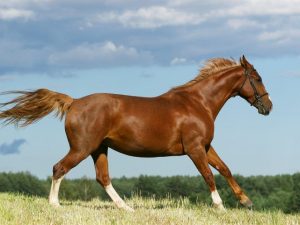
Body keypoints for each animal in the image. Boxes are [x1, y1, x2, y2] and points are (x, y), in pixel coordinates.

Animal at [0, 55, 272, 210]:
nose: (268, 107)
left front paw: (246, 201)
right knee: (60, 168)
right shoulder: (194, 149)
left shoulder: (205, 146)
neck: (198, 103)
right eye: (257, 78)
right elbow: (208, 175)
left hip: (99, 149)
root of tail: (73, 102)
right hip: (82, 148)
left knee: (102, 178)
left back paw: (127, 208)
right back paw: (55, 205)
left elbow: (225, 169)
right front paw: (220, 207)